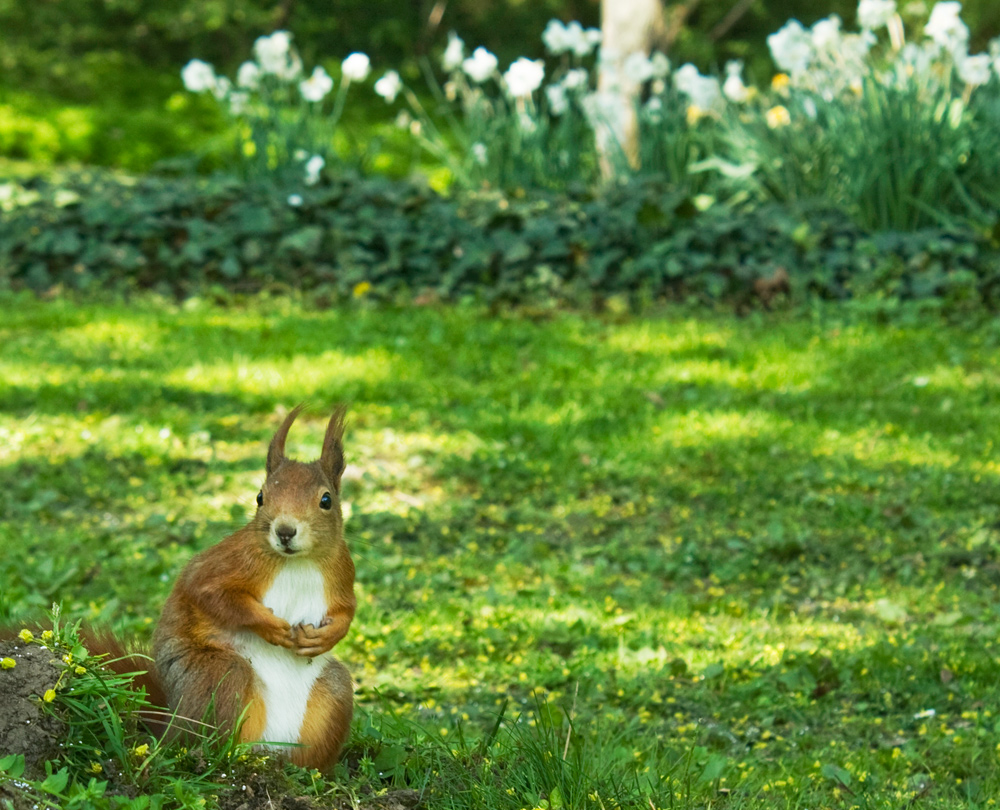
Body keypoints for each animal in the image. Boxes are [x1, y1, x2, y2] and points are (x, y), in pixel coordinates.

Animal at [150, 408, 358, 768]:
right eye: (260, 497)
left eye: (326, 500)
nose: (285, 531)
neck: (297, 562)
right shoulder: (226, 564)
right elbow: (211, 593)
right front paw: (271, 627)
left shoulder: (343, 573)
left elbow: (347, 611)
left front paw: (325, 637)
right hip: (217, 675)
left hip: (334, 694)